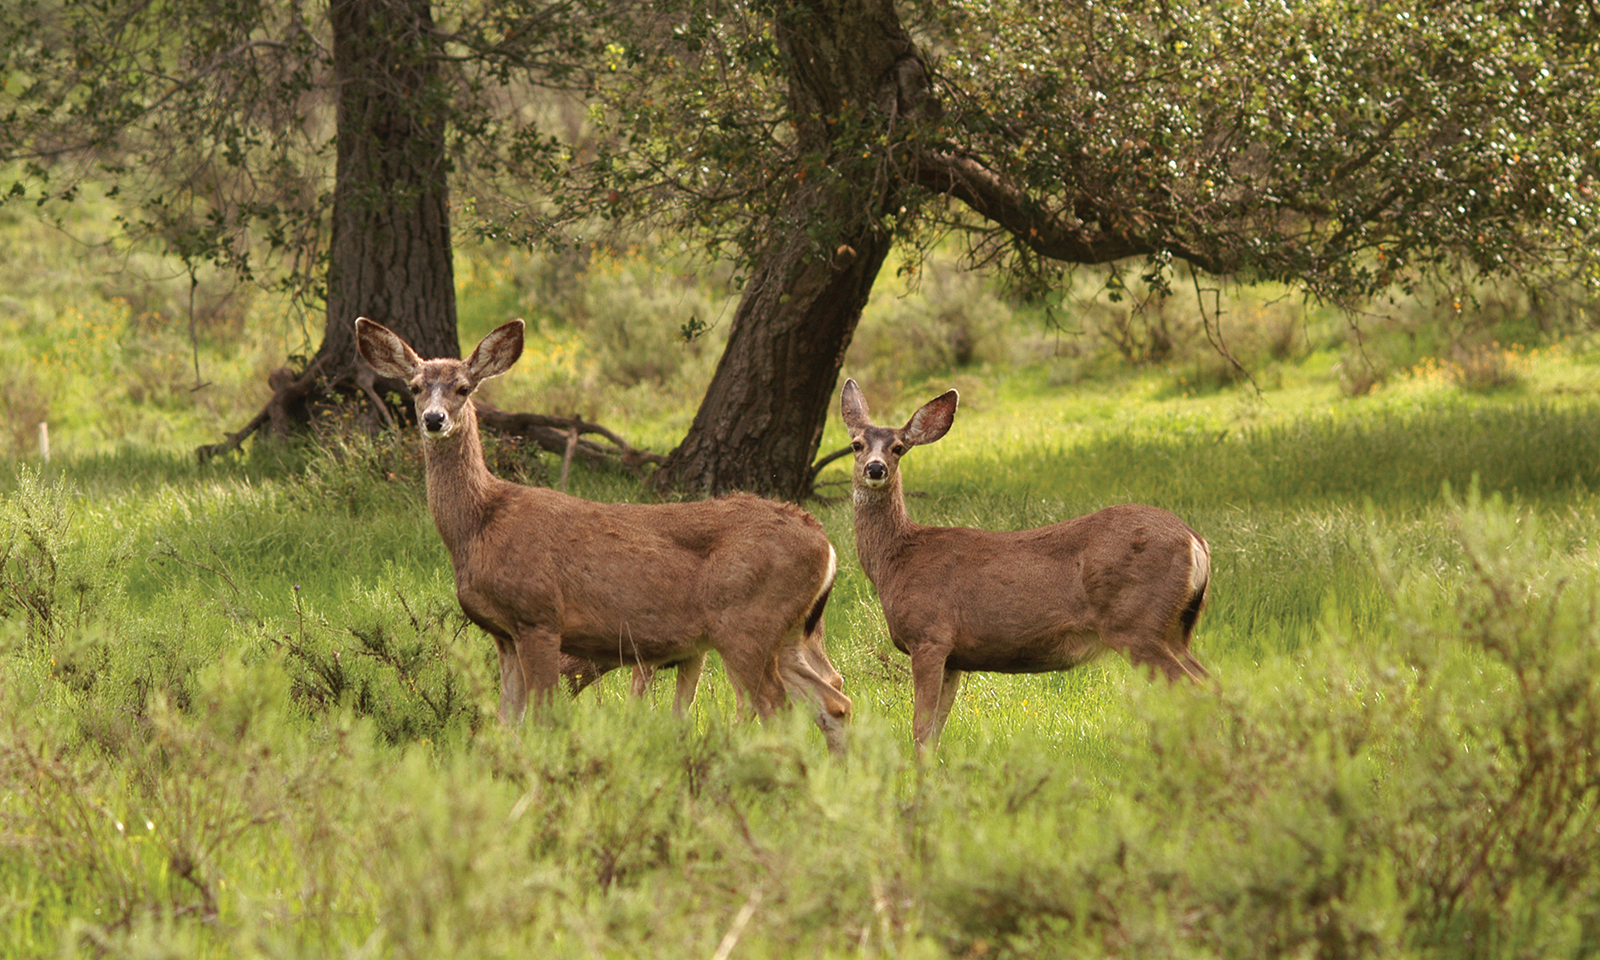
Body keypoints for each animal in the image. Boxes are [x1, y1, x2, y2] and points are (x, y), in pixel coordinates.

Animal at [350, 315, 851, 748]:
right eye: (415, 387)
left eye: (463, 387)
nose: (433, 419)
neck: (480, 525)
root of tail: (827, 548)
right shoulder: (503, 634)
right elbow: (506, 723)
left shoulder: (539, 616)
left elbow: (543, 718)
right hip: (789, 633)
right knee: (834, 702)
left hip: (747, 623)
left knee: (778, 709)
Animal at [844, 377, 1203, 748]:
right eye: (856, 444)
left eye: (898, 448)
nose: (875, 468)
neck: (895, 561)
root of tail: (1195, 541)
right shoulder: (954, 656)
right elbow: (936, 729)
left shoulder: (929, 635)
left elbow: (920, 728)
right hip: (1174, 629)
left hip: (1135, 622)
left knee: (1193, 688)